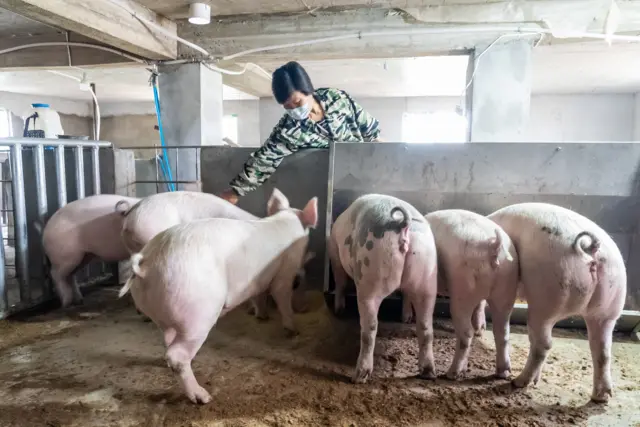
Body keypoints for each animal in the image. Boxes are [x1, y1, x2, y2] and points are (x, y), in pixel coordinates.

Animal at [118, 190, 318, 404]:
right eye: (298, 282)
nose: (306, 307)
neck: (286, 222)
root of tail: (145, 263)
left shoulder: (257, 280)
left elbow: (258, 295)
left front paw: (262, 316)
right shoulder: (285, 271)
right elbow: (282, 296)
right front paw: (293, 330)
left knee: (168, 341)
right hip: (198, 314)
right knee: (177, 355)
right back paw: (203, 397)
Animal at [490, 202, 624, 402]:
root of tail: (590, 248)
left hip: (548, 295)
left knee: (543, 344)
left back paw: (519, 382)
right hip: (610, 307)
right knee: (603, 351)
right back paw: (601, 397)